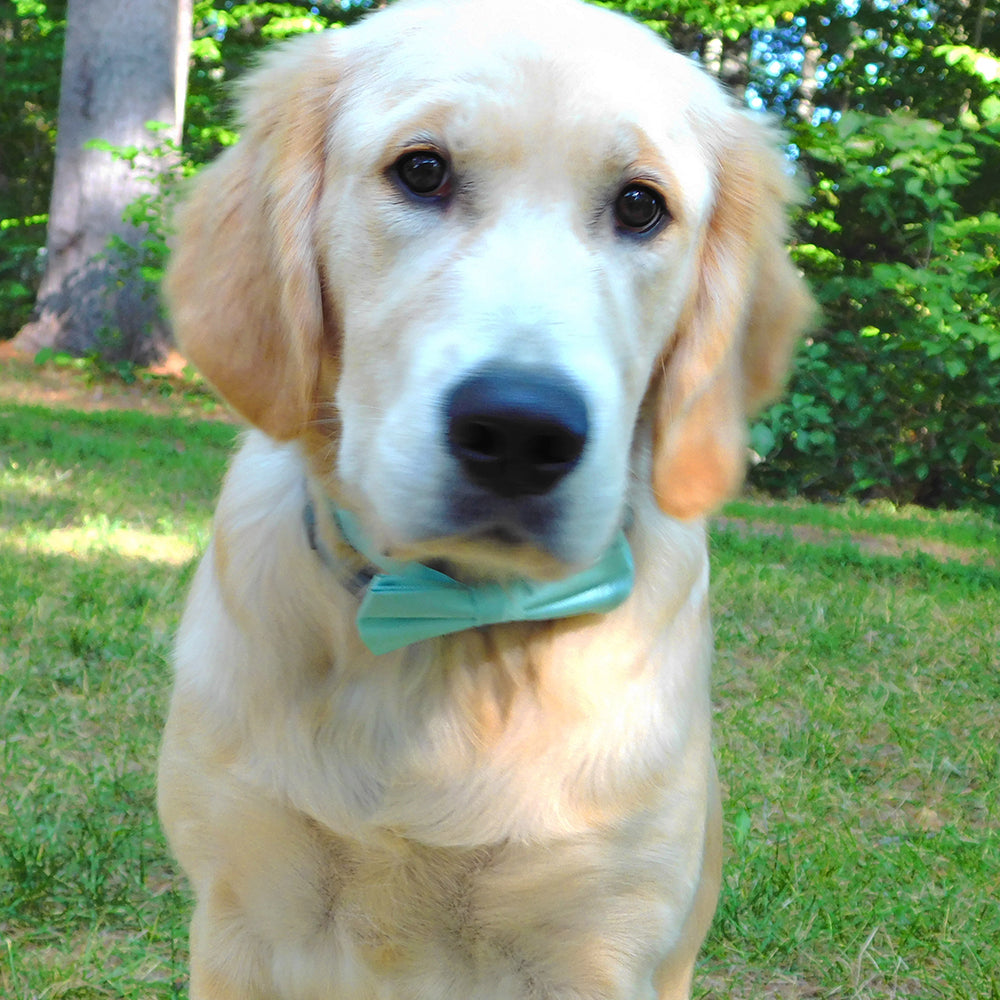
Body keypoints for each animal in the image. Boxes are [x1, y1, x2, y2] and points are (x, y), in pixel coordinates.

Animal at [156, 1, 812, 1000]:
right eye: (422, 170)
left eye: (641, 205)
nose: (520, 432)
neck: (442, 632)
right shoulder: (239, 910)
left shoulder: (598, 943)